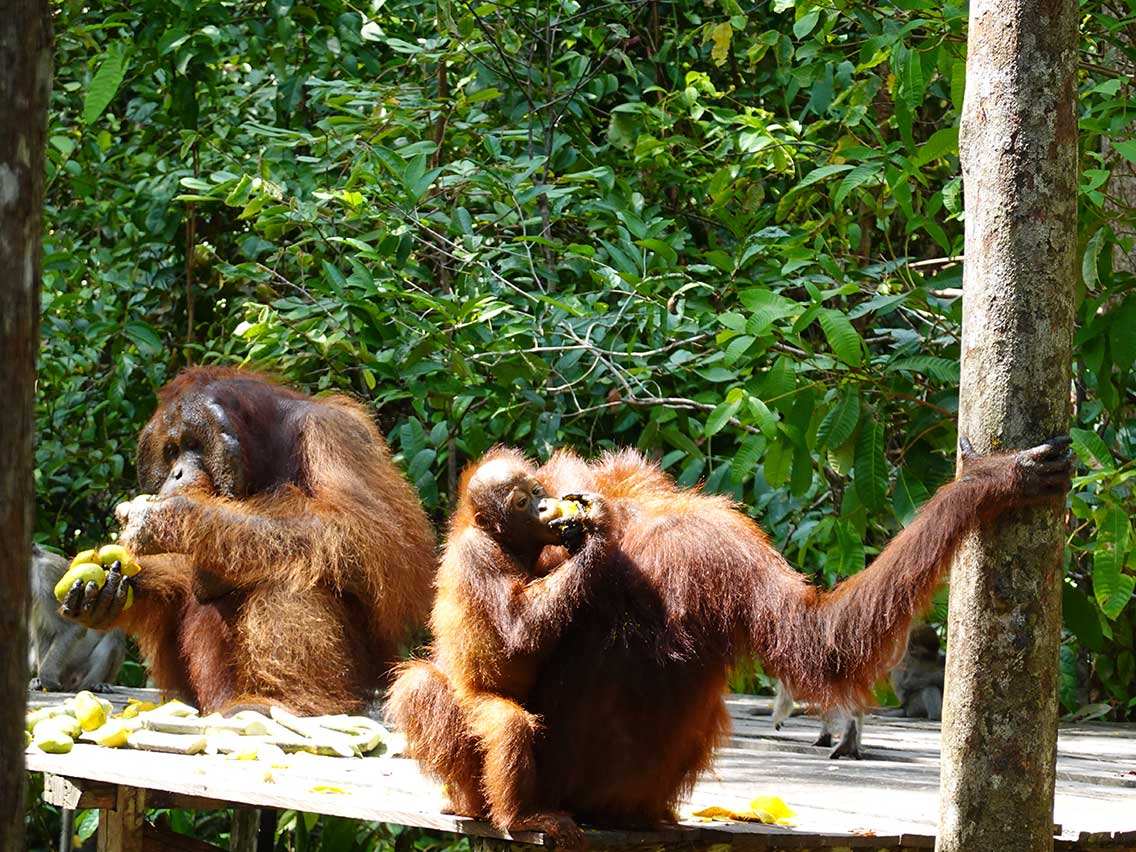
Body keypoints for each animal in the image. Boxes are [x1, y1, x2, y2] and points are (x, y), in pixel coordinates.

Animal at [28, 547, 124, 695]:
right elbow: (44, 631)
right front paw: (40, 680)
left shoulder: (47, 579)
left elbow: (73, 627)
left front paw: (47, 678)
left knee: (114, 635)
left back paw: (93, 685)